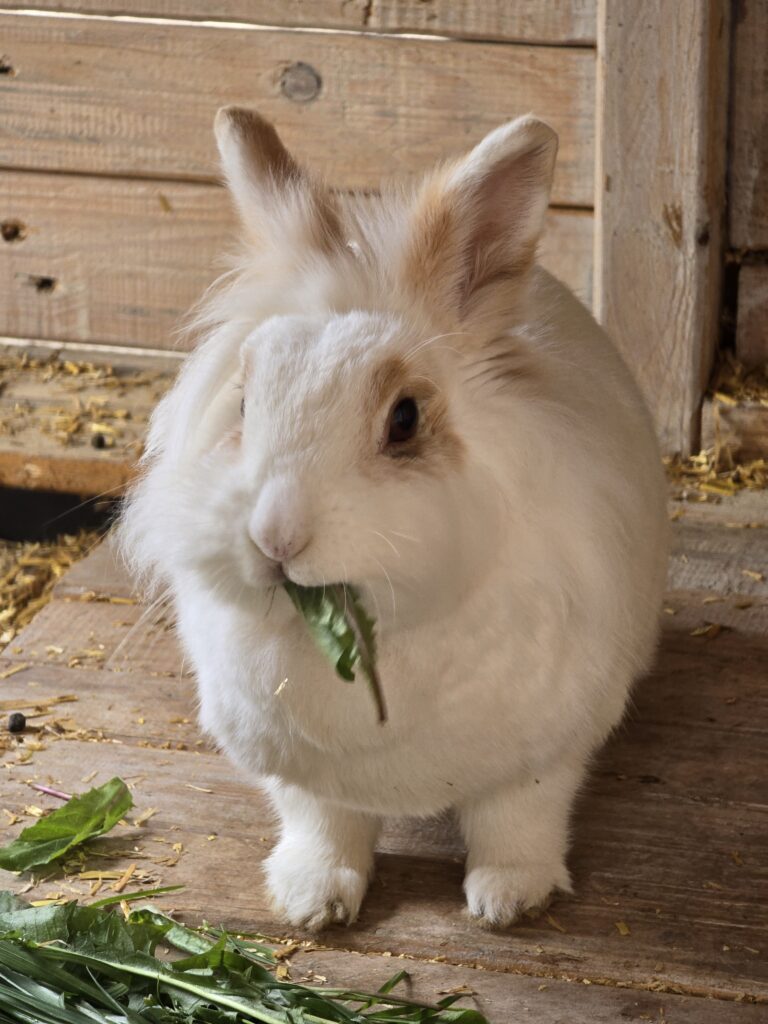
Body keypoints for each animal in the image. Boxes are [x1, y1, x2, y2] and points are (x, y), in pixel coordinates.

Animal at [119, 106, 669, 932]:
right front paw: (311, 900)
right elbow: (323, 826)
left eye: (404, 419)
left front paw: (507, 901)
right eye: (245, 405)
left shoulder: (543, 759)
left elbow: (518, 824)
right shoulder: (304, 778)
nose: (275, 537)